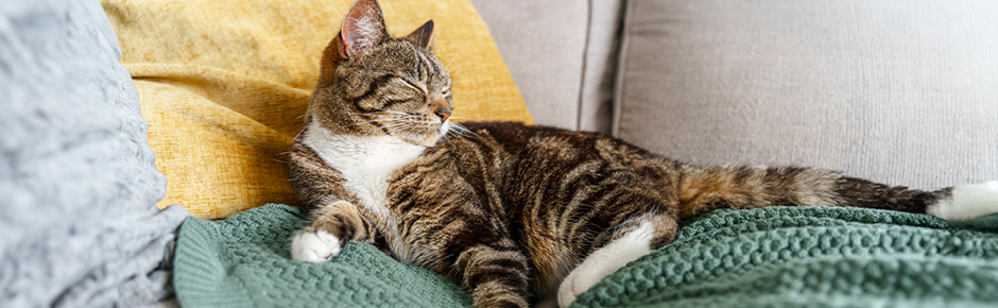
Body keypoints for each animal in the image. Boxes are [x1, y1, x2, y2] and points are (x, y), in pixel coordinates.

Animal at [288, 0, 998, 308]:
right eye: (415, 87)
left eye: (448, 92)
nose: (443, 116)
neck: (369, 154)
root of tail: (661, 160)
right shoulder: (351, 204)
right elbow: (342, 216)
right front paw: (313, 242)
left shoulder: (485, 235)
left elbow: (498, 285)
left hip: (564, 189)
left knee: (656, 219)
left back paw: (579, 281)